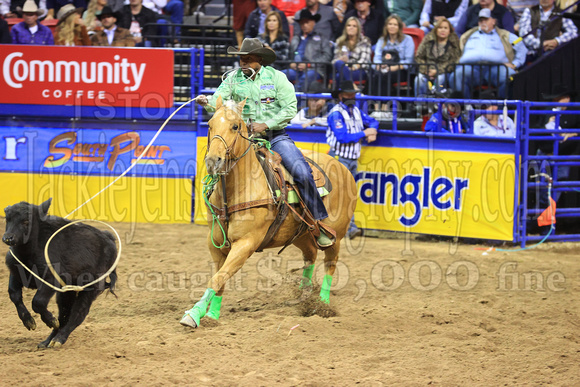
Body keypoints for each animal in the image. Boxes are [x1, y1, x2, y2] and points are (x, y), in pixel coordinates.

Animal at [2, 200, 118, 348]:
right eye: (7, 219)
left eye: (26, 221)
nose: (8, 238)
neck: (29, 253)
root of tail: (108, 238)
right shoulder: (16, 274)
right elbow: (14, 295)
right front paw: (29, 322)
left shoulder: (51, 280)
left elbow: (38, 302)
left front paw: (50, 321)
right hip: (67, 292)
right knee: (64, 315)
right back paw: (47, 341)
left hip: (91, 287)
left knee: (78, 313)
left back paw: (59, 339)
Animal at [180, 98, 358, 330]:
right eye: (209, 124)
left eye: (235, 126)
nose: (212, 161)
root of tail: (343, 168)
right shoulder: (216, 244)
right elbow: (220, 278)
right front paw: (211, 315)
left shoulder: (246, 243)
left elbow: (219, 277)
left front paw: (193, 314)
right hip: (300, 234)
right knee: (310, 255)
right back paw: (304, 297)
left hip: (335, 234)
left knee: (330, 262)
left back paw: (322, 304)